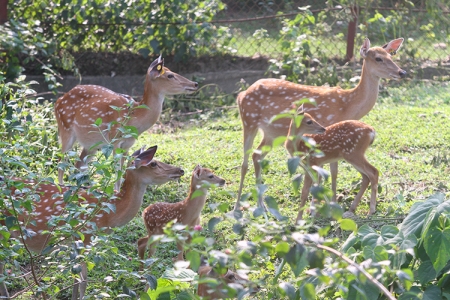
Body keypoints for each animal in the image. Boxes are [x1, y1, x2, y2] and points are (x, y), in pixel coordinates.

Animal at [0, 146, 184, 300]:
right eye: (153, 163)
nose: (180, 170)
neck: (108, 216)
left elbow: (74, 277)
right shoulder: (85, 235)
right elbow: (84, 281)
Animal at [54, 54, 197, 185]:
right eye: (170, 75)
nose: (195, 84)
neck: (135, 119)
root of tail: (58, 101)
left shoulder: (128, 145)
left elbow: (122, 172)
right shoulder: (115, 140)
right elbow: (117, 173)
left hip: (92, 144)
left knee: (79, 166)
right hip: (65, 128)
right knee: (61, 164)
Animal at [237, 38, 406, 211]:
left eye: (391, 55)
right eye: (378, 58)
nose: (402, 72)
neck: (347, 105)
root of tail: (242, 94)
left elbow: (333, 171)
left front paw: (330, 202)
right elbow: (327, 171)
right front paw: (319, 204)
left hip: (271, 133)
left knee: (256, 155)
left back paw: (261, 204)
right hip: (248, 121)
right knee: (244, 162)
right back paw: (240, 205)